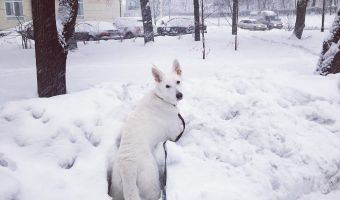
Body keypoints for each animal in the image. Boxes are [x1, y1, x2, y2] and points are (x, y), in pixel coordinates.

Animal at [111, 58, 186, 199]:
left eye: (178, 82)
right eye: (167, 86)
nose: (179, 95)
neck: (161, 98)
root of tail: (127, 167)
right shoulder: (174, 134)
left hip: (117, 188)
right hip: (151, 181)